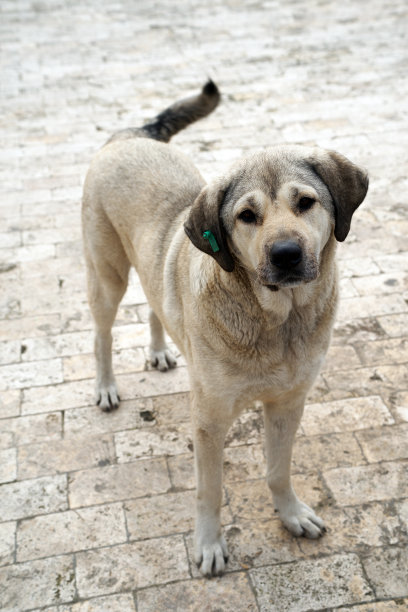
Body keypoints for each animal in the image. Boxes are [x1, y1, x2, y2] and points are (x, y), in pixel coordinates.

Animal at [81, 82, 368, 580]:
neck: (278, 321)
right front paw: (209, 545)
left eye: (306, 202)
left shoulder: (289, 403)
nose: (286, 254)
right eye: (247, 216)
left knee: (156, 302)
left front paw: (291, 514)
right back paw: (106, 386)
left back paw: (160, 351)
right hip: (107, 274)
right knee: (103, 333)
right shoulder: (210, 420)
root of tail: (129, 136)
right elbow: (209, 491)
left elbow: (278, 470)